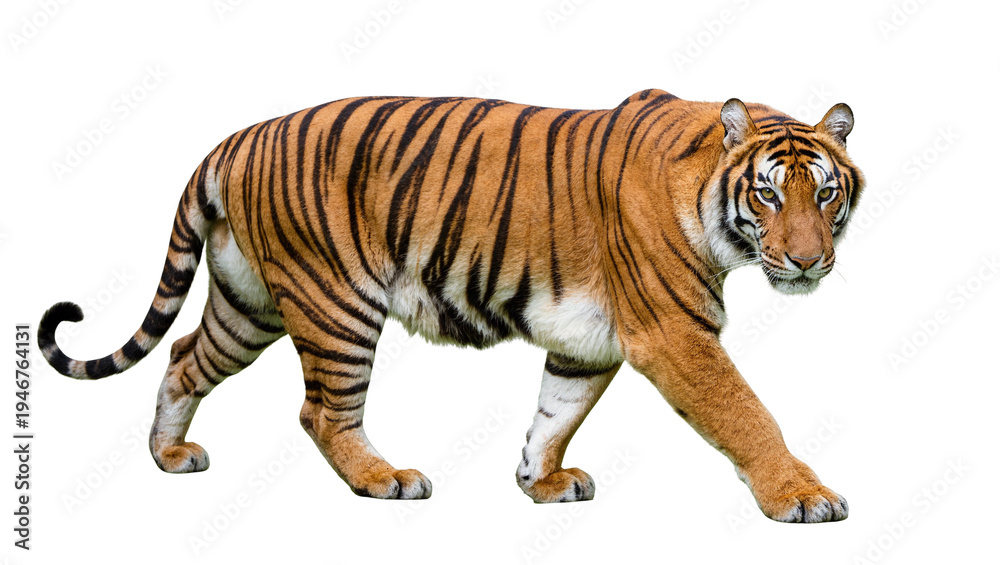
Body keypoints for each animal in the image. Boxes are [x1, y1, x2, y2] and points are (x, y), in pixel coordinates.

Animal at [39, 89, 864, 522]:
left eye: (826, 193)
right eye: (768, 194)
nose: (807, 259)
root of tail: (238, 138)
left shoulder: (587, 341)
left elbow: (555, 411)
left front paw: (541, 481)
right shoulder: (674, 333)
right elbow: (746, 413)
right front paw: (804, 495)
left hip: (250, 304)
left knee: (183, 357)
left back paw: (169, 455)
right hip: (335, 302)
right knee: (321, 410)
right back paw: (384, 479)